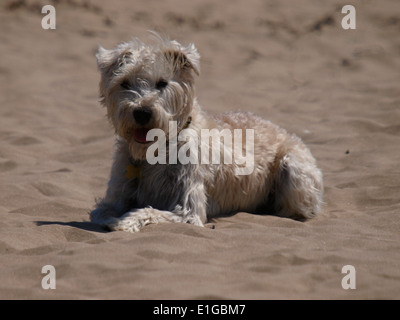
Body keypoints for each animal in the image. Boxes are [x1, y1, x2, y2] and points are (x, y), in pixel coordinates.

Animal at [89, 34, 324, 232]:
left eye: (163, 83)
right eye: (124, 83)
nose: (142, 112)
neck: (156, 151)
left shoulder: (188, 209)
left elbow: (148, 211)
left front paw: (124, 222)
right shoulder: (116, 196)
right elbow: (100, 212)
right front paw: (114, 219)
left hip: (293, 168)